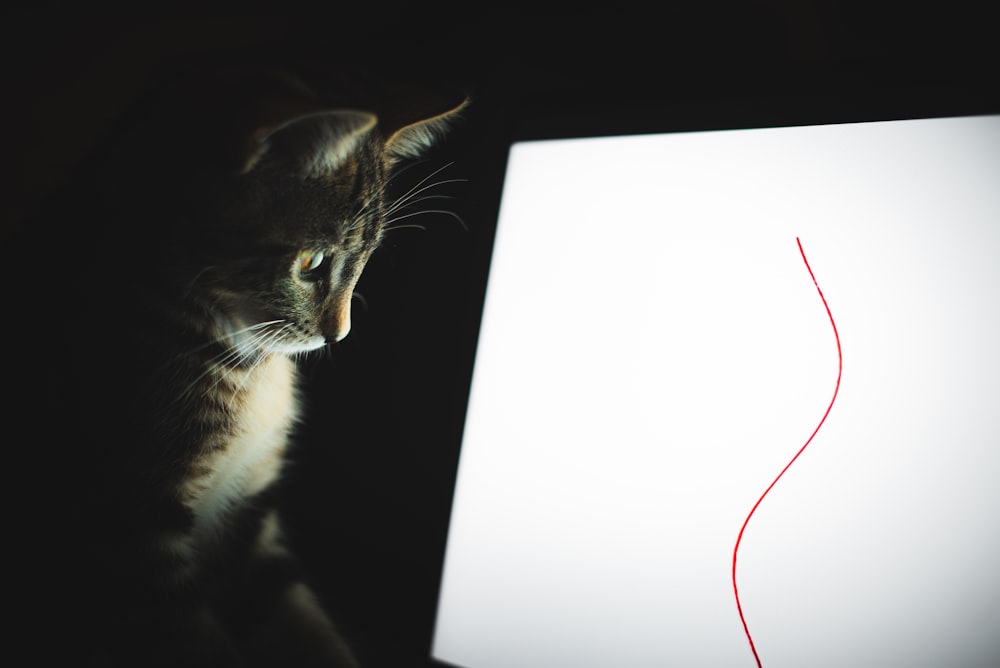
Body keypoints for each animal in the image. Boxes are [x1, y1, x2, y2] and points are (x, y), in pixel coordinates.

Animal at [5, 64, 466, 668]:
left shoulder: (249, 517)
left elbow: (299, 619)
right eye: (311, 263)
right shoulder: (133, 533)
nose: (338, 332)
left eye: (365, 260)